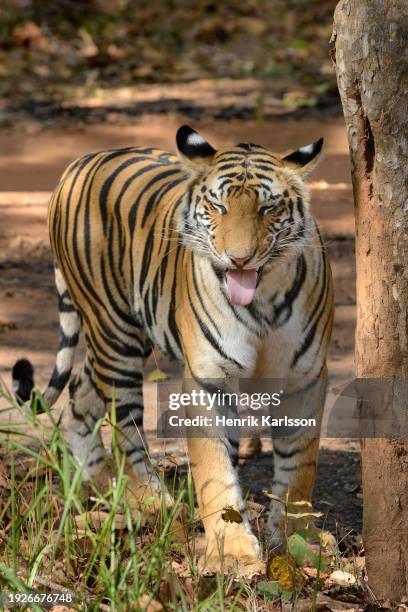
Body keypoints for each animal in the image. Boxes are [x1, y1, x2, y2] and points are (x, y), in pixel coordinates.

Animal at [12, 126, 334, 576]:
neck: (263, 299)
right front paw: (233, 552)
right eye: (219, 206)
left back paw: (94, 484)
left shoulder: (306, 375)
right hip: (115, 334)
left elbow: (300, 466)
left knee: (79, 396)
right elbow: (214, 470)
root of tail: (79, 162)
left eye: (268, 208)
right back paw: (151, 500)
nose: (239, 259)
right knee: (124, 426)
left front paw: (299, 538)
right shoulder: (207, 379)